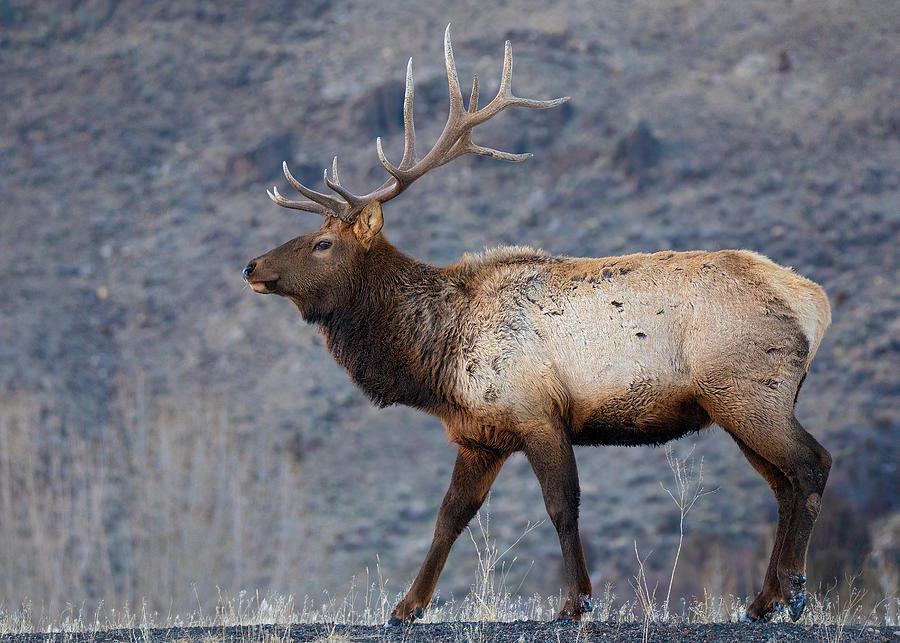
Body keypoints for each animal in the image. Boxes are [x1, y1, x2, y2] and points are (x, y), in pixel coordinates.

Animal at [244, 27, 828, 628]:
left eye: (322, 243)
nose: (251, 266)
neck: (437, 359)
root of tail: (814, 300)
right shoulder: (481, 433)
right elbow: (450, 515)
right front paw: (406, 607)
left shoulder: (538, 411)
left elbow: (561, 506)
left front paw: (576, 602)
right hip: (743, 403)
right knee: (783, 483)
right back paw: (764, 600)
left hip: (748, 392)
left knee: (811, 466)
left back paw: (794, 594)